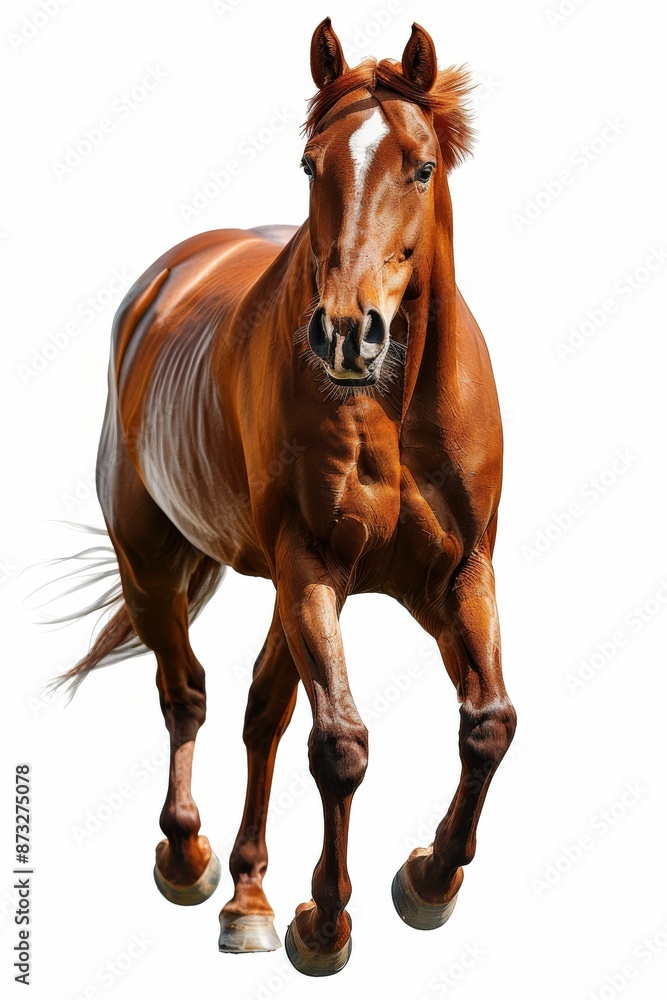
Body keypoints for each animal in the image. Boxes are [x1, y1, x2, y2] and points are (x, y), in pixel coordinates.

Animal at [51, 18, 517, 977]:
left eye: (421, 166)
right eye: (309, 163)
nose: (344, 332)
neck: (394, 405)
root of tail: (166, 280)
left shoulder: (459, 576)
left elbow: (488, 722)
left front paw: (428, 881)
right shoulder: (314, 569)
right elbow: (338, 744)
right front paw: (325, 922)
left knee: (261, 716)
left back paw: (249, 897)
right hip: (153, 564)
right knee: (185, 692)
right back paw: (191, 860)